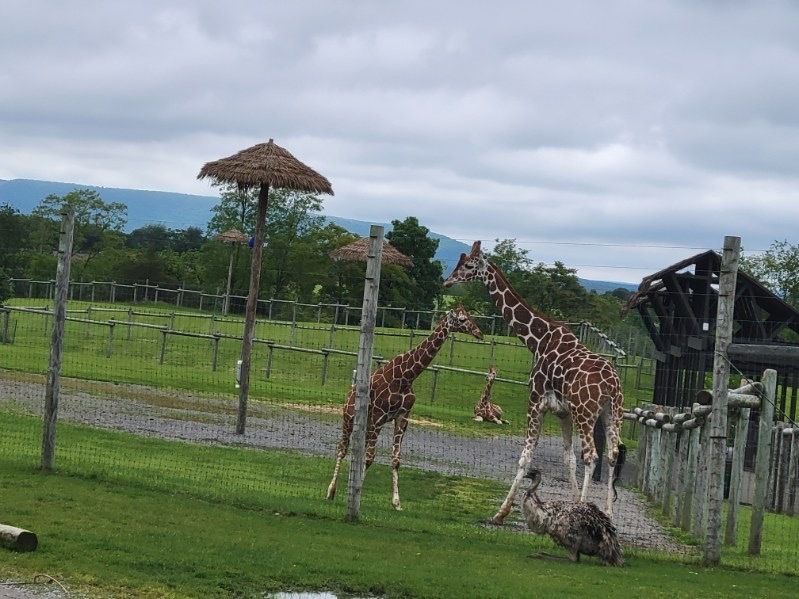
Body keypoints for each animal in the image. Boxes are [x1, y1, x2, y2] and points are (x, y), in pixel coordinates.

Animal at [326, 303, 484, 510]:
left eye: (471, 316)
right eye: (462, 319)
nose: (480, 333)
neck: (406, 377)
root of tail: (350, 392)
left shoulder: (402, 417)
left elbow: (395, 460)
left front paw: (396, 502)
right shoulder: (379, 415)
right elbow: (369, 457)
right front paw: (355, 493)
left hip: (366, 422)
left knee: (358, 449)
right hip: (349, 417)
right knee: (342, 449)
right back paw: (331, 492)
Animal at [443, 241, 624, 523]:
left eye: (469, 266)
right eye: (459, 263)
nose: (447, 281)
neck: (537, 340)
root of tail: (612, 385)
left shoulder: (536, 401)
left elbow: (526, 456)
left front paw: (500, 513)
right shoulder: (563, 412)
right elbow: (567, 458)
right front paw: (574, 503)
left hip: (587, 413)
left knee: (592, 455)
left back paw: (590, 509)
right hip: (612, 413)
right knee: (612, 453)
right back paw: (607, 513)